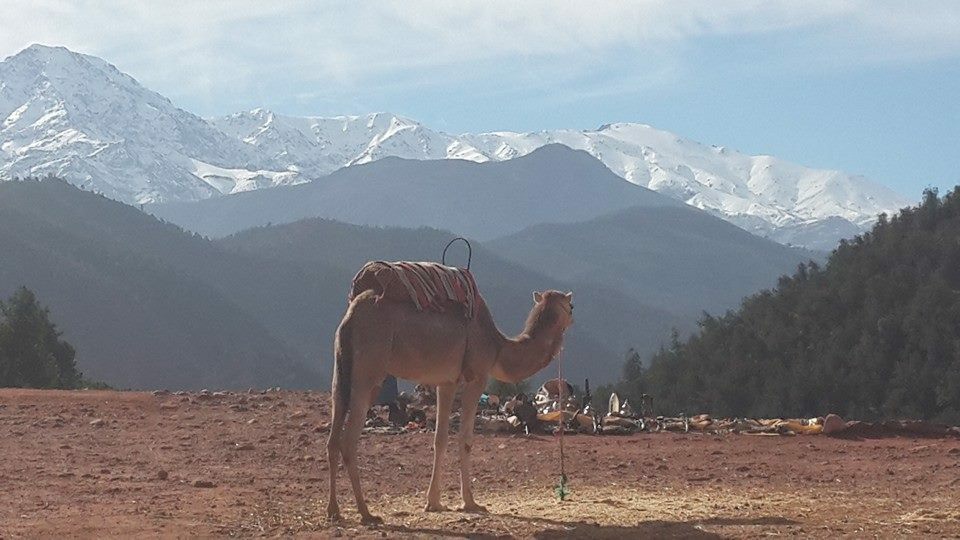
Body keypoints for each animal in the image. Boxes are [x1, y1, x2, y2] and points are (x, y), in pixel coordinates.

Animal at [326, 281, 574, 523]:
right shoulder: (477, 379)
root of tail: (350, 318)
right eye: (571, 305)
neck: (498, 348)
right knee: (349, 440)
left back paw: (334, 510)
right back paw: (365, 512)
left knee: (333, 438)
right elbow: (465, 439)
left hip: (340, 370)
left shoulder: (446, 383)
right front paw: (471, 502)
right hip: (368, 371)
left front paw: (434, 503)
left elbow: (440, 439)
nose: (573, 317)